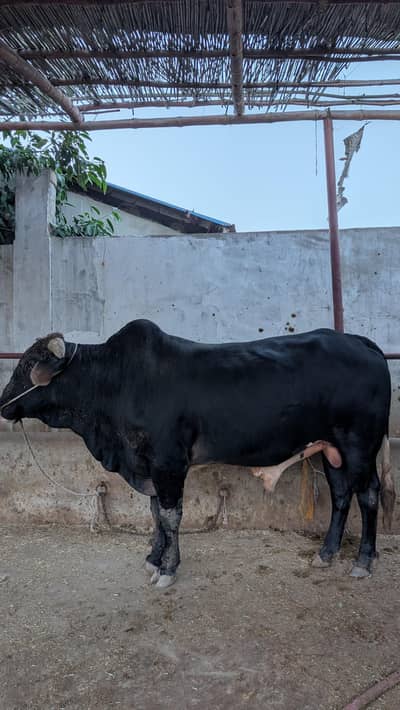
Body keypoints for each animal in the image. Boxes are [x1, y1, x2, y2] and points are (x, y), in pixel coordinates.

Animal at [0, 320, 395, 588]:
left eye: (26, 366)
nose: (3, 405)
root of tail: (358, 341)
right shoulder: (148, 466)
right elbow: (155, 513)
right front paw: (153, 558)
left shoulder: (168, 462)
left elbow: (171, 516)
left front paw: (168, 569)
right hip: (331, 449)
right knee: (341, 495)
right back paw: (326, 554)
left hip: (359, 444)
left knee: (368, 495)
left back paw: (363, 560)